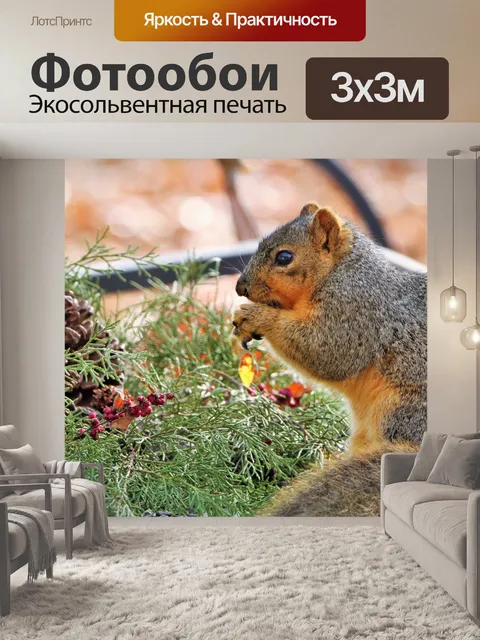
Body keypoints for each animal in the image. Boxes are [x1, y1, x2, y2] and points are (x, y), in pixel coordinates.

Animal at [233, 202, 427, 456]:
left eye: (284, 257)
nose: (240, 288)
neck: (339, 273)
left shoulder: (355, 314)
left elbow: (327, 352)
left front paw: (256, 316)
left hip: (401, 412)